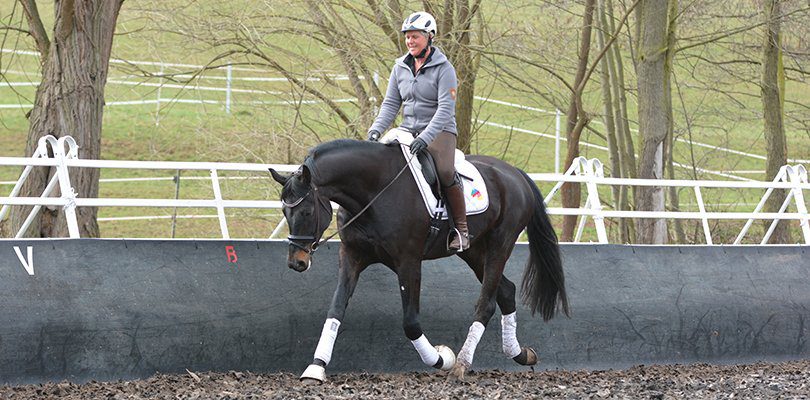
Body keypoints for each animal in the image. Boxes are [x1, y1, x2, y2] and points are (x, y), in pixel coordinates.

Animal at [268, 139, 564, 382]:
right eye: (284, 211)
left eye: (306, 211)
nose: (297, 262)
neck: (374, 191)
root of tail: (514, 173)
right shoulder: (352, 257)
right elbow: (336, 309)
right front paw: (316, 367)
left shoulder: (408, 262)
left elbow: (410, 323)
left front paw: (442, 358)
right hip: (473, 251)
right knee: (505, 291)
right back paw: (520, 353)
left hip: (499, 245)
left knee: (487, 303)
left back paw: (461, 365)